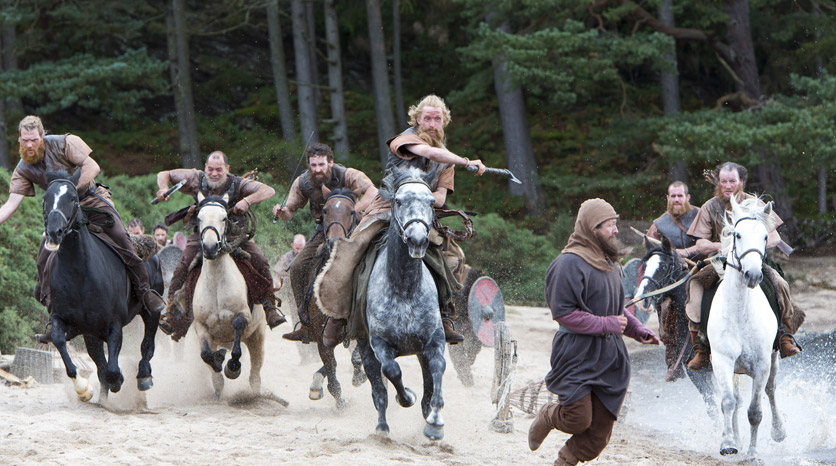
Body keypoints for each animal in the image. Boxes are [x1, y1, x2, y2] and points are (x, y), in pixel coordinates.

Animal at [42, 170, 161, 402]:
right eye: (45, 198)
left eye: (73, 198)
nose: (54, 232)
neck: (80, 275)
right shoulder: (63, 320)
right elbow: (60, 342)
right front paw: (83, 389)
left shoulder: (114, 325)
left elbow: (112, 370)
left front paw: (118, 380)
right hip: (90, 332)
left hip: (151, 311)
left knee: (147, 345)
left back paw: (144, 375)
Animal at [191, 192, 266, 399]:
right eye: (199, 217)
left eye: (224, 218)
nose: (210, 247)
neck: (216, 284)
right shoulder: (200, 326)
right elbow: (206, 355)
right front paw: (218, 360)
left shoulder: (243, 315)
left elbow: (238, 331)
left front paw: (232, 367)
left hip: (258, 336)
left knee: (255, 374)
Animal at [358, 167, 447, 440]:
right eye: (398, 201)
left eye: (431, 202)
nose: (417, 239)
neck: (404, 289)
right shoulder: (379, 344)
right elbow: (392, 372)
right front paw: (406, 396)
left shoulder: (433, 341)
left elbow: (438, 369)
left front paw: (435, 421)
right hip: (365, 349)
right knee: (379, 391)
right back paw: (382, 428)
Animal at [708, 196, 786, 456]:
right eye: (737, 235)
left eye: (765, 237)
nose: (752, 275)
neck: (740, 313)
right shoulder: (722, 361)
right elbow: (728, 402)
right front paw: (729, 443)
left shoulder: (761, 365)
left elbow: (755, 411)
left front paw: (752, 453)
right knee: (737, 400)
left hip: (773, 358)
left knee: (771, 390)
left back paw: (778, 431)